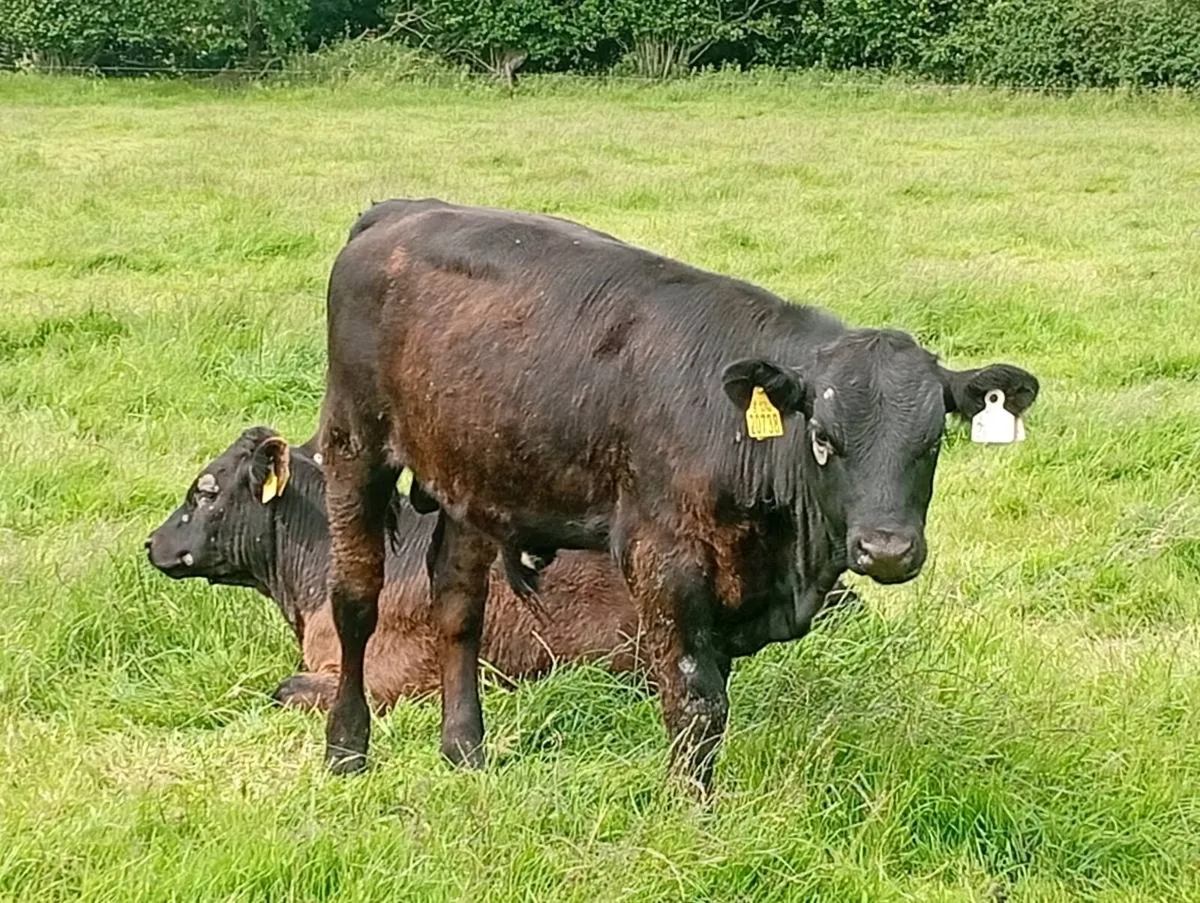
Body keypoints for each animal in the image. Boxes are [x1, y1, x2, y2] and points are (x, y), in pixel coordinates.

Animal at [317, 198, 1040, 792]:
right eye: (823, 438)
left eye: (934, 440)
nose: (886, 549)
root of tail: (399, 210)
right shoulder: (664, 561)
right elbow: (697, 702)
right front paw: (691, 814)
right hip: (354, 444)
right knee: (356, 601)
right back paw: (346, 749)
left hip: (469, 477)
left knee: (458, 605)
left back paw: (465, 749)